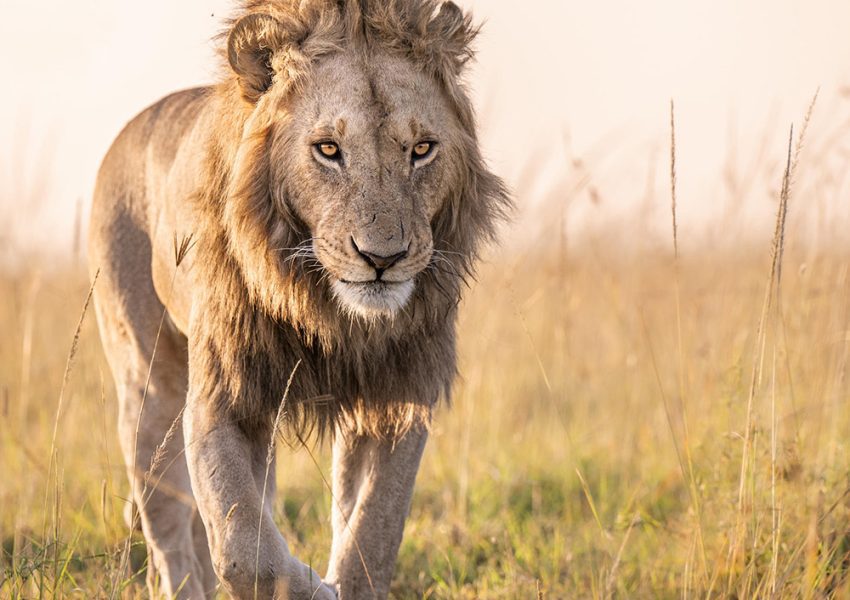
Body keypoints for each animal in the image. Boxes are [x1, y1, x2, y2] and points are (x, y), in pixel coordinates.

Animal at [87, 0, 509, 598]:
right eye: (328, 149)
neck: (331, 313)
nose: (383, 258)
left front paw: (343, 580)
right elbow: (243, 551)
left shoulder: (397, 394)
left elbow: (372, 533)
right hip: (148, 383)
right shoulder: (221, 396)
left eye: (422, 150)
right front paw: (313, 587)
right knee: (167, 526)